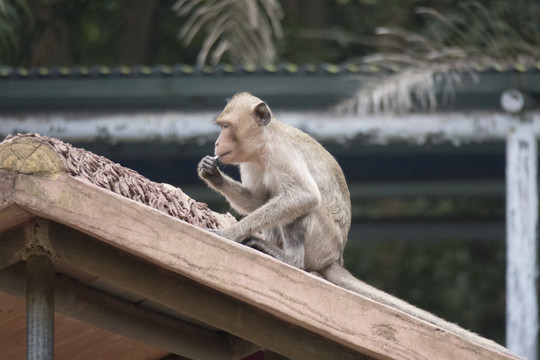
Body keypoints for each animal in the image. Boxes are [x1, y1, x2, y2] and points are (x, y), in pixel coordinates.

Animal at [197, 91, 516, 356]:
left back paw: (290, 259)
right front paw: (213, 175)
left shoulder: (281, 154)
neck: (263, 144)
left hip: (324, 241)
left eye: (226, 127)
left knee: (304, 208)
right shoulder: (250, 163)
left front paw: (231, 233)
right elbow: (258, 201)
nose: (216, 143)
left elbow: (303, 197)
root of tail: (335, 258)